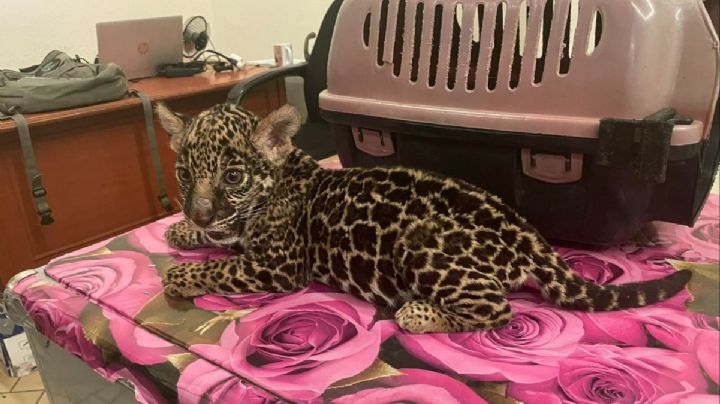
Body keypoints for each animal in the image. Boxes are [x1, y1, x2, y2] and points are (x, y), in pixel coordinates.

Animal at [154, 102, 692, 334]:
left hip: (420, 243)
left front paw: (179, 274)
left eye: (232, 176)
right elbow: (221, 242)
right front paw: (184, 229)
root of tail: (532, 238)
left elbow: (221, 266)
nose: (198, 211)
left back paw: (418, 313)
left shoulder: (277, 266)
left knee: (498, 310)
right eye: (184, 174)